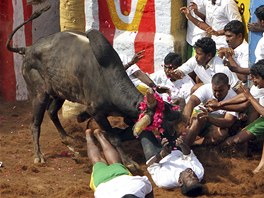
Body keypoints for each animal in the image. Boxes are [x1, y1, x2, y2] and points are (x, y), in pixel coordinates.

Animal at [6, 6, 184, 169]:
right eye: (161, 124)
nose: (175, 140)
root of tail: (28, 49)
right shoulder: (97, 112)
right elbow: (114, 137)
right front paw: (129, 161)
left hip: (59, 92)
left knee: (52, 112)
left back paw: (68, 140)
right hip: (39, 94)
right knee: (35, 124)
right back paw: (38, 155)